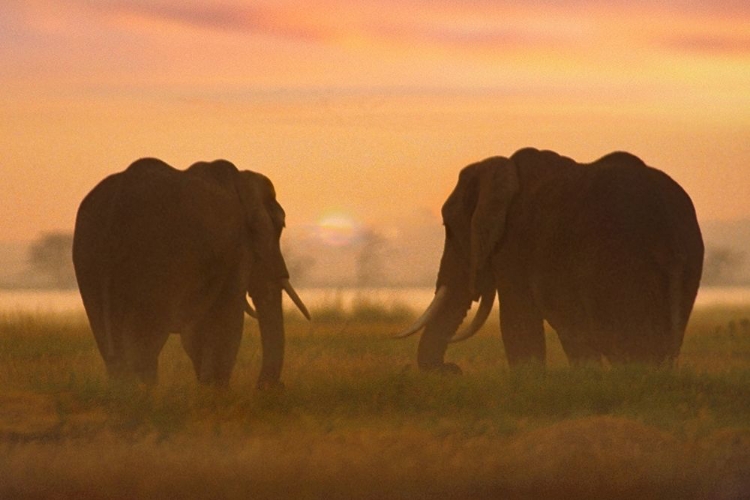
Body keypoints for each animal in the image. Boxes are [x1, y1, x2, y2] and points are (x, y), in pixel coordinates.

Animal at [74, 157, 312, 386]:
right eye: (281, 226)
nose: (274, 386)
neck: (243, 178)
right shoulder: (238, 247)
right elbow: (227, 318)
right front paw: (215, 391)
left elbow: (197, 331)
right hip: (153, 264)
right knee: (144, 345)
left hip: (89, 260)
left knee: (113, 348)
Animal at [400, 146, 704, 374]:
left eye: (449, 229)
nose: (454, 369)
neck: (502, 167)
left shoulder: (514, 244)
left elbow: (518, 323)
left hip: (622, 268)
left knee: (628, 347)